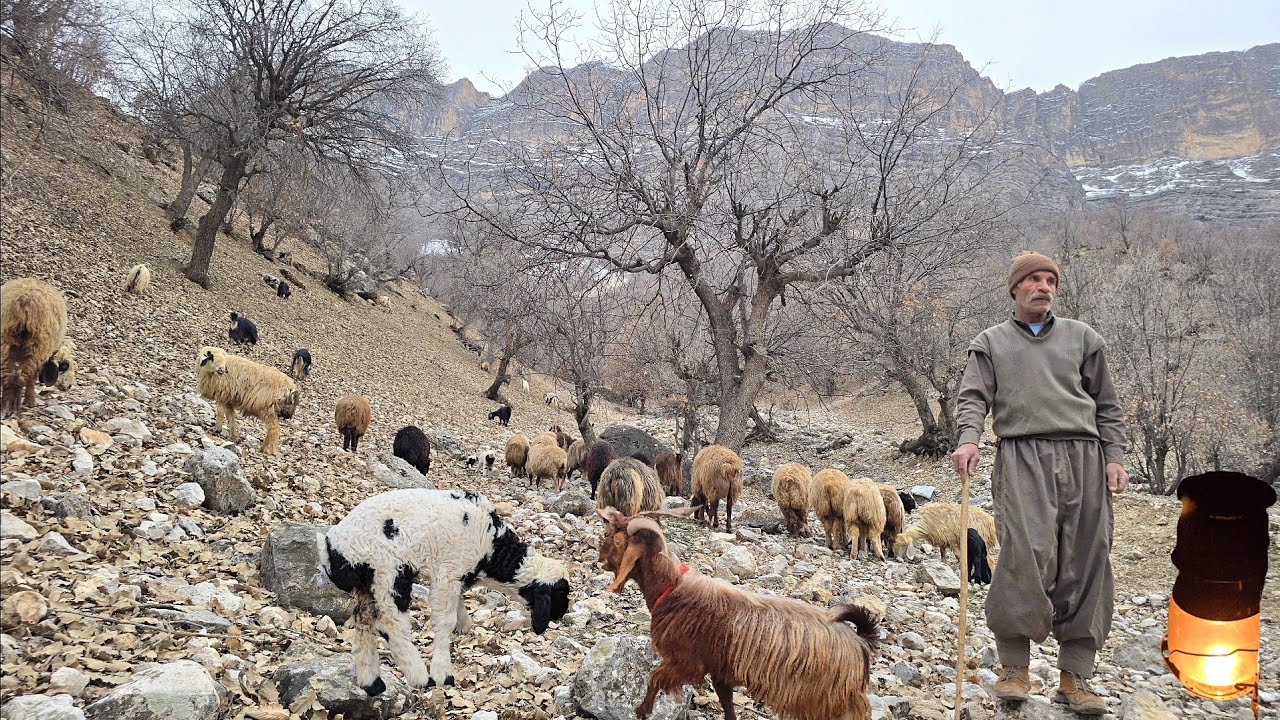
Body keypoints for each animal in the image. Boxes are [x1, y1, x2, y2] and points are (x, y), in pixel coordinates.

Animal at [1, 278, 72, 418]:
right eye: (65, 368)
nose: (69, 387)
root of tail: (24, 301)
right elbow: (32, 378)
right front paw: (30, 401)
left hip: (5, 340)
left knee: (8, 376)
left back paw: (5, 408)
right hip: (38, 346)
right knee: (23, 377)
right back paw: (16, 409)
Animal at [322, 489, 571, 692]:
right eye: (560, 593)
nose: (561, 614)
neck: (493, 550)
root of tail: (331, 548)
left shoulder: (456, 578)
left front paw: (464, 623)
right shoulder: (448, 574)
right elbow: (445, 622)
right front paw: (443, 673)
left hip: (367, 583)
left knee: (364, 623)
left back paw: (371, 683)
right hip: (388, 570)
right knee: (390, 624)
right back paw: (420, 677)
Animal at [596, 507, 880, 720]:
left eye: (611, 536)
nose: (600, 559)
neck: (673, 589)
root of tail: (860, 641)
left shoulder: (687, 662)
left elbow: (654, 678)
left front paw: (641, 711)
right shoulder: (720, 673)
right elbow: (728, 706)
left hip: (831, 702)